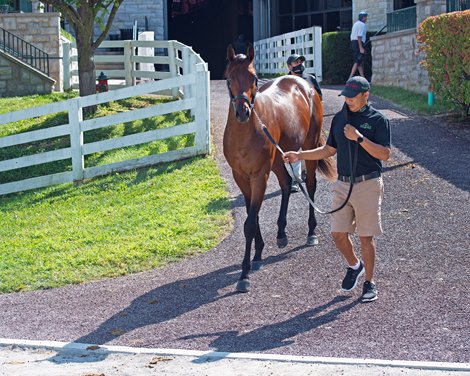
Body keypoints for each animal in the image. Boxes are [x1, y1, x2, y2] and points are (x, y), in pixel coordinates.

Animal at [223, 43, 336, 290]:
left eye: (254, 77)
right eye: (228, 78)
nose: (242, 112)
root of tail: (302, 83)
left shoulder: (259, 176)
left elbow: (249, 223)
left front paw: (244, 274)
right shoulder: (241, 177)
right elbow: (252, 217)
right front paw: (257, 256)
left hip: (309, 147)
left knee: (310, 185)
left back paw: (311, 232)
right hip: (278, 160)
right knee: (286, 184)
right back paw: (281, 232)